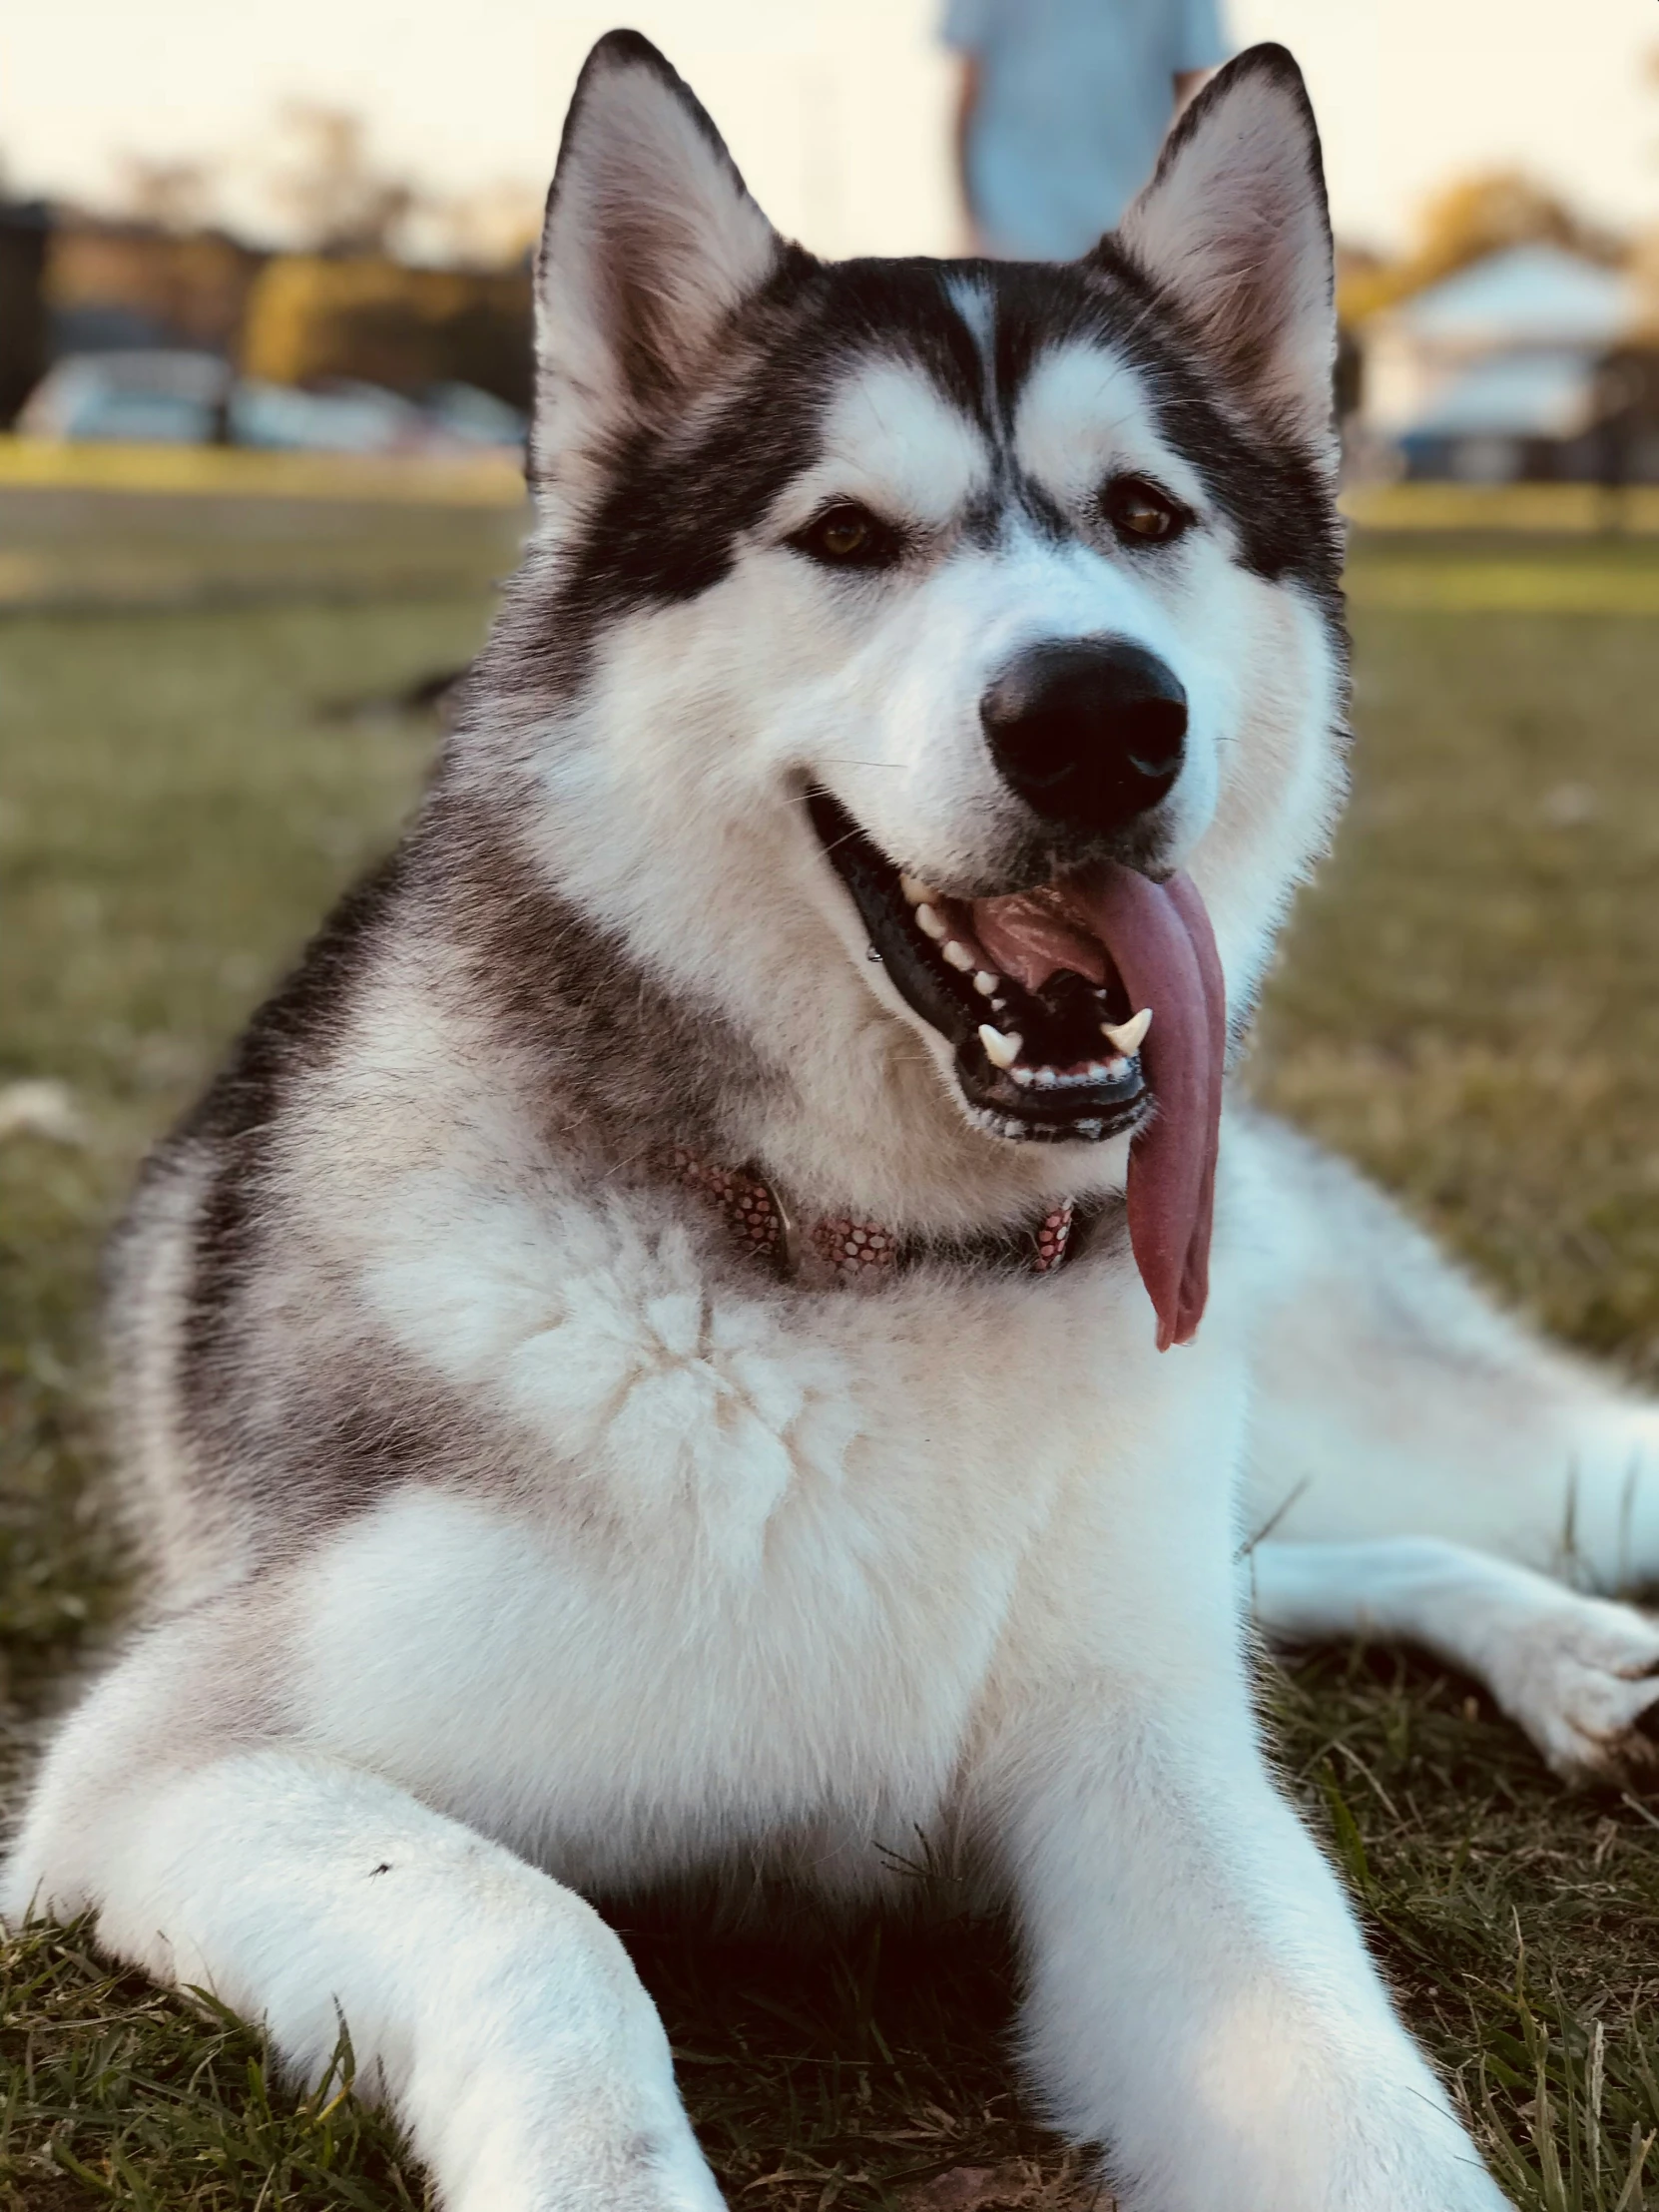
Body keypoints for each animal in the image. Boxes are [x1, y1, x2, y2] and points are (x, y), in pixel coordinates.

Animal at [9, 34, 1659, 2212]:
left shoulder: (1149, 1783)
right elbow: (546, 1936)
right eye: (850, 535)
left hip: (1429, 1445)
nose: (1100, 715)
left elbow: (1358, 2105)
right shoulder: (167, 1766)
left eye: (1146, 512)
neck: (867, 1269)